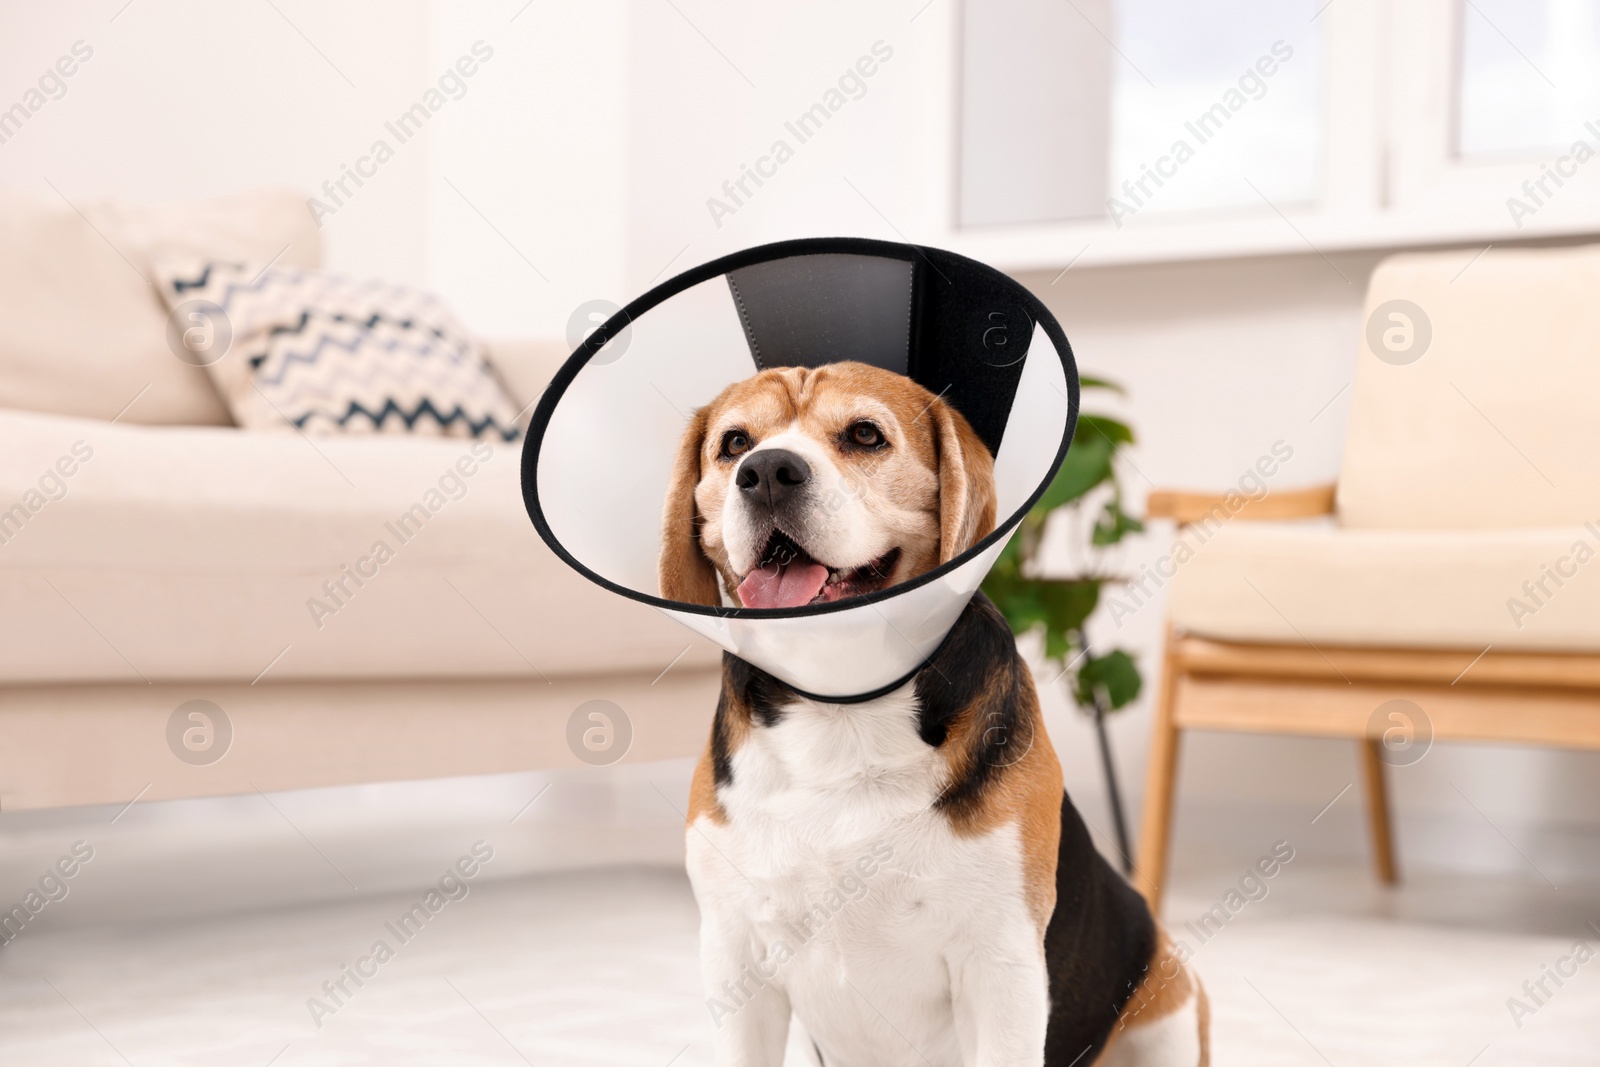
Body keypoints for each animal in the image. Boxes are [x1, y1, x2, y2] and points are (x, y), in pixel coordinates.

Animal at [659, 363, 1203, 1062]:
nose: (767, 471)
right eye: (733, 444)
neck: (841, 705)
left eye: (865, 435)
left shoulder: (1001, 966)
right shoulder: (735, 954)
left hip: (1169, 1000)